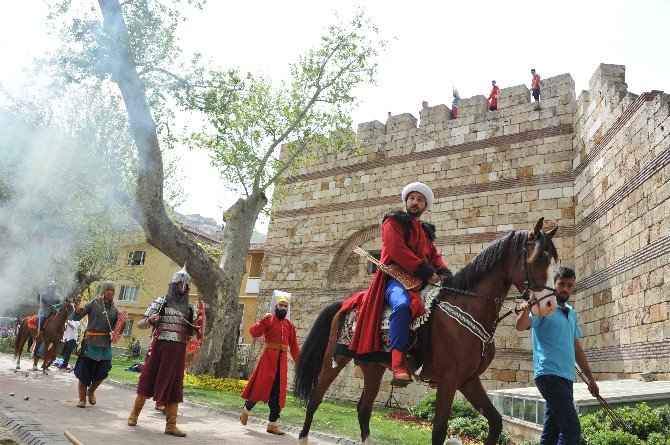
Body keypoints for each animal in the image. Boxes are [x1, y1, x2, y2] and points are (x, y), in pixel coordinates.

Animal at [294, 217, 560, 442]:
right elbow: (439, 431)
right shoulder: (449, 380)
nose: (550, 305)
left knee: (364, 408)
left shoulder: (469, 380)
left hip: (372, 367)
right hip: (334, 359)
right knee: (315, 399)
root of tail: (346, 303)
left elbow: (495, 422)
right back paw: (304, 436)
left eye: (555, 262)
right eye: (538, 259)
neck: (467, 308)